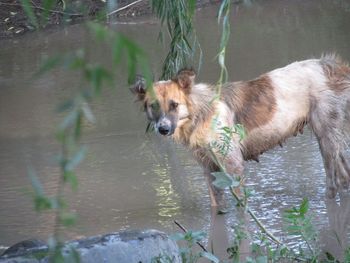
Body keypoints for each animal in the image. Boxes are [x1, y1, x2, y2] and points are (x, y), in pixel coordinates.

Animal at [132, 54, 350, 206]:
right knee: (345, 177)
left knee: (333, 184)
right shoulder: (209, 169)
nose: (163, 129)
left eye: (174, 105)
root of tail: (331, 65)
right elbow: (216, 206)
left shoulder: (233, 166)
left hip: (326, 143)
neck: (202, 112)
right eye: (153, 106)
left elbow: (240, 208)